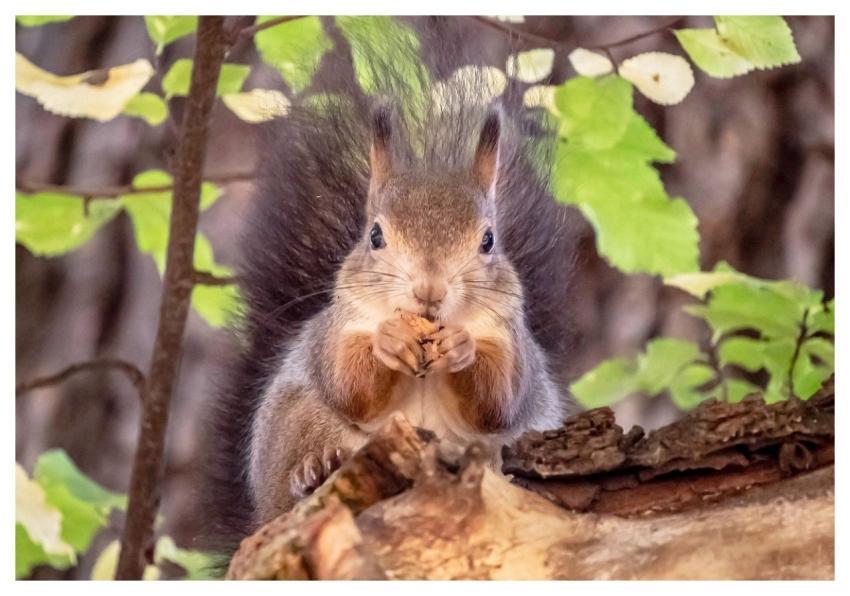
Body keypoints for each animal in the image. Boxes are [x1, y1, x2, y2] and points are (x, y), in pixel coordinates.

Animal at [200, 17, 580, 556]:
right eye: (375, 235)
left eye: (488, 240)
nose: (429, 291)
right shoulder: (337, 329)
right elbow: (350, 383)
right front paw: (389, 340)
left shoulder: (513, 342)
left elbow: (499, 399)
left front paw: (460, 345)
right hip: (295, 421)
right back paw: (313, 470)